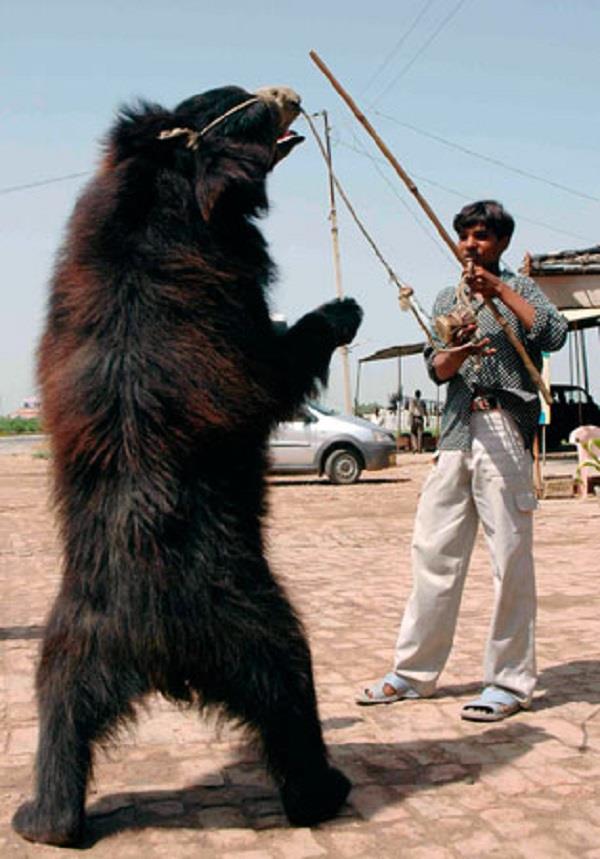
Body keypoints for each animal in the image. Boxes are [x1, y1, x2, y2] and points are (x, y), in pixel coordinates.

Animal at [12, 84, 362, 846]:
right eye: (245, 103)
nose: (294, 93)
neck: (161, 186)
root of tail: (156, 643)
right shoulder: (222, 284)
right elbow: (269, 367)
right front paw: (340, 311)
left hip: (70, 640)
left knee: (60, 712)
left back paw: (43, 819)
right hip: (257, 624)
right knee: (290, 687)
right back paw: (324, 788)